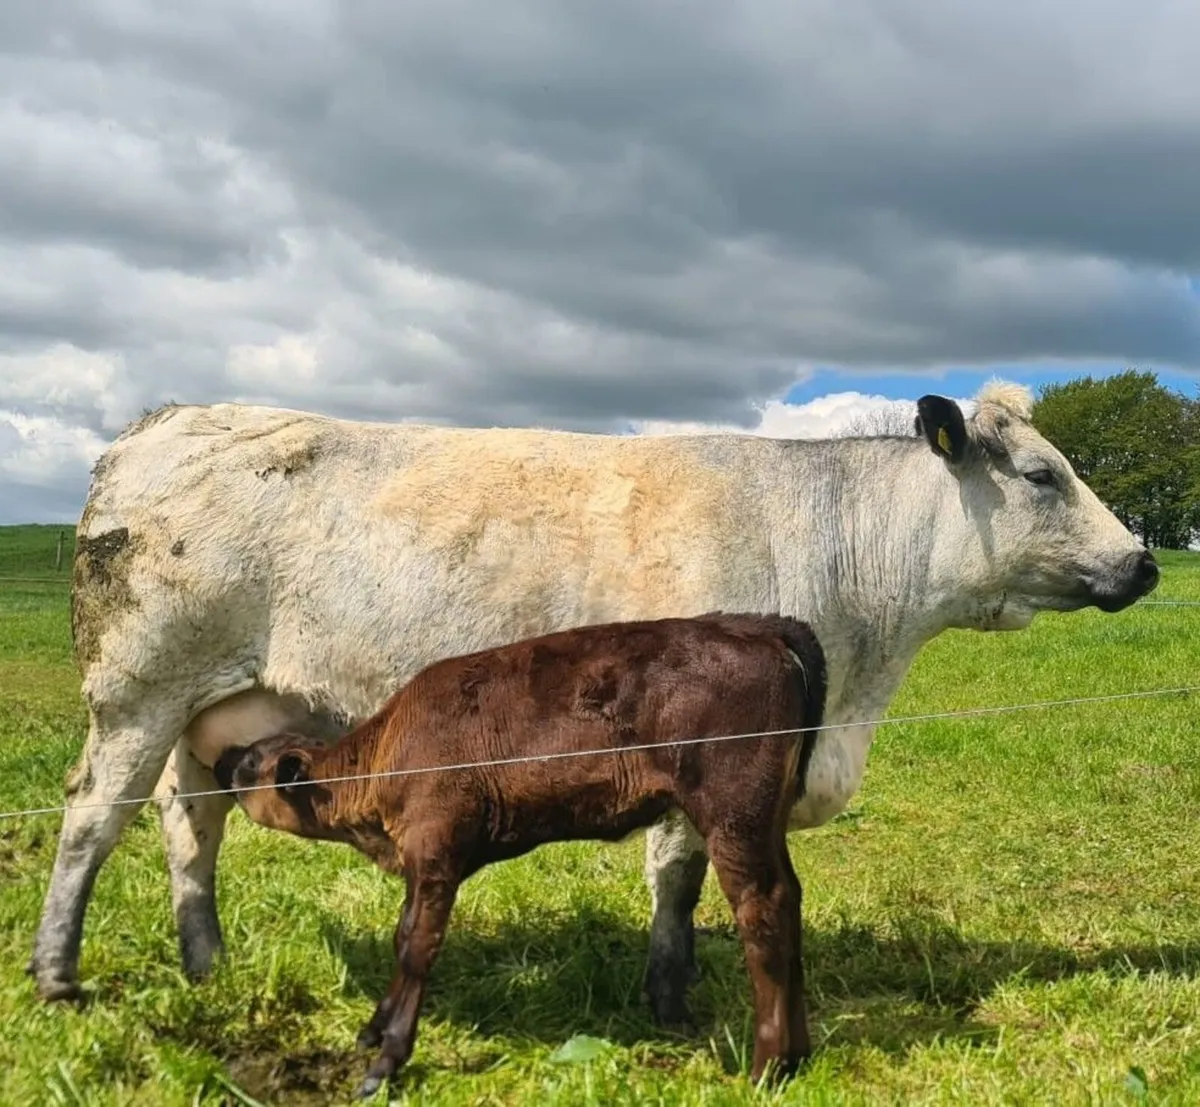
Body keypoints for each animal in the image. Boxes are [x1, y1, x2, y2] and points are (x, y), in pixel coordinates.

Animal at [29, 380, 1159, 1028]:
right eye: (1041, 474)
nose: (1145, 561)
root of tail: (168, 421)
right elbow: (679, 873)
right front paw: (669, 1000)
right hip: (137, 690)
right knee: (92, 819)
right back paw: (56, 976)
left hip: (217, 710)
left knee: (192, 827)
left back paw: (207, 964)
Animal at [213, 612, 829, 1095]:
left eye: (252, 763)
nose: (221, 761)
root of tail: (758, 627)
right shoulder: (422, 864)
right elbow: (401, 933)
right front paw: (373, 1029)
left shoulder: (436, 853)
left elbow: (416, 947)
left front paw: (386, 1061)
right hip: (763, 823)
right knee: (790, 899)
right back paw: (798, 1056)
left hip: (732, 818)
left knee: (762, 911)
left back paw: (766, 1068)